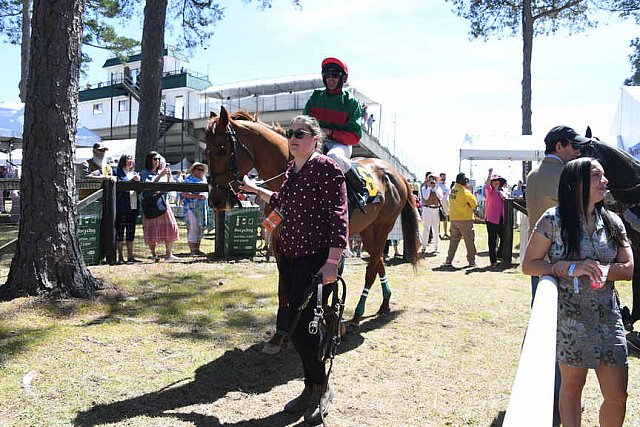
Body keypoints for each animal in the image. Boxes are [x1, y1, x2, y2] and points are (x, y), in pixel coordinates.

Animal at [205, 107, 420, 324]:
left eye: (222, 149)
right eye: (206, 151)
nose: (215, 200)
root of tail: (396, 174)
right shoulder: (278, 242)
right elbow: (284, 289)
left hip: (383, 227)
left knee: (372, 268)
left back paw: (358, 314)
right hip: (368, 231)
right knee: (379, 263)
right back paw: (385, 303)